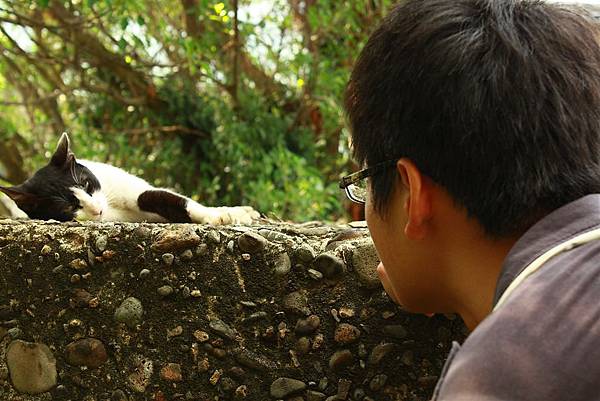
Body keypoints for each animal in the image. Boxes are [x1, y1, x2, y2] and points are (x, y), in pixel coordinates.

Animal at [1, 133, 262, 223]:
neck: (111, 204)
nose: (97, 210)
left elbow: (165, 198)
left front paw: (222, 215)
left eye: (85, 183)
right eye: (67, 207)